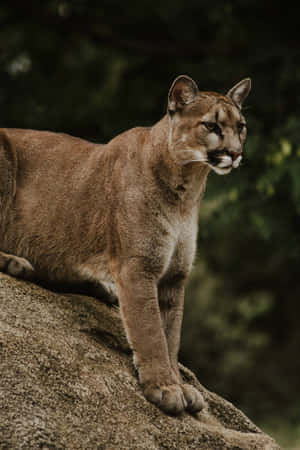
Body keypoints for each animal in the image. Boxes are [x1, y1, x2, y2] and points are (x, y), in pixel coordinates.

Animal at [0, 75, 251, 414]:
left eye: (241, 127)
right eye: (211, 126)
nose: (235, 153)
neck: (187, 188)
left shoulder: (173, 278)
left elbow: (171, 337)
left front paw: (180, 385)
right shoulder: (138, 268)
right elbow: (151, 333)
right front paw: (165, 388)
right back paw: (16, 262)